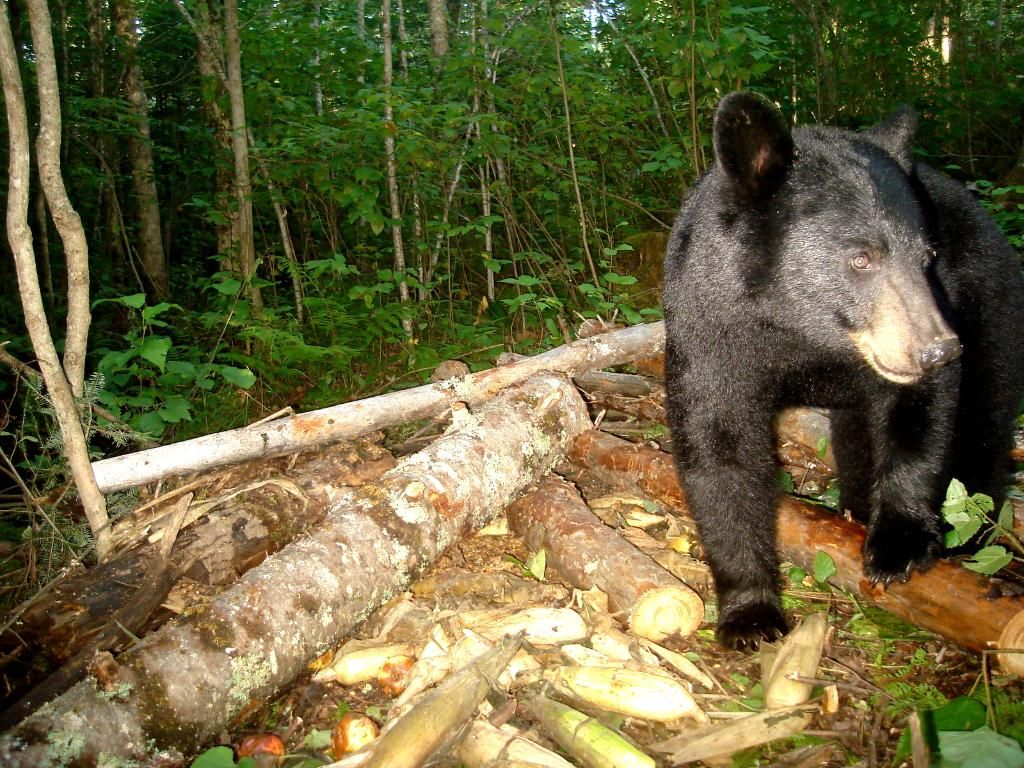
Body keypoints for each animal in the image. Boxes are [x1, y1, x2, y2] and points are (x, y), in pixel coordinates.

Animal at [659, 93, 1024, 651]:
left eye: (927, 256)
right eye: (862, 258)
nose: (937, 350)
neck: (800, 330)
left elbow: (920, 419)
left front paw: (899, 543)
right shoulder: (709, 330)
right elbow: (719, 449)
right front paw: (751, 614)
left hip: (993, 301)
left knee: (983, 422)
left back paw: (972, 544)